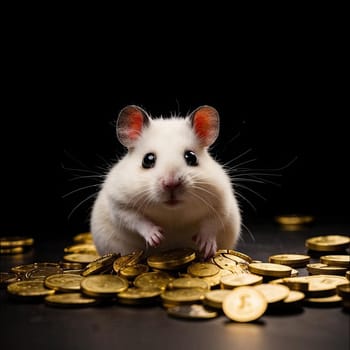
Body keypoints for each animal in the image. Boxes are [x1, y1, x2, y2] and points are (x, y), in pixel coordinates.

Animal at [91, 104, 241, 260]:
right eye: (148, 160)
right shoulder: (118, 203)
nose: (171, 184)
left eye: (191, 157)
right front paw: (157, 238)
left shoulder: (221, 201)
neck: (172, 212)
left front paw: (206, 248)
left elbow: (211, 224)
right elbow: (135, 219)